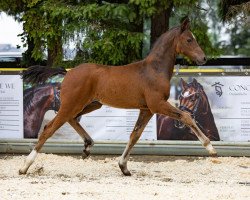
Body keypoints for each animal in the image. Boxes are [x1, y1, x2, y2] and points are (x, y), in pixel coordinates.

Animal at [19, 18, 217, 175]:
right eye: (189, 39)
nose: (204, 58)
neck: (154, 70)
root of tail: (68, 72)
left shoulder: (146, 109)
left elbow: (134, 135)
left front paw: (124, 167)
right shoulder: (157, 104)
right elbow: (186, 116)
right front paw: (210, 148)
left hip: (91, 104)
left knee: (72, 119)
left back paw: (88, 145)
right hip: (72, 104)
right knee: (49, 128)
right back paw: (25, 166)